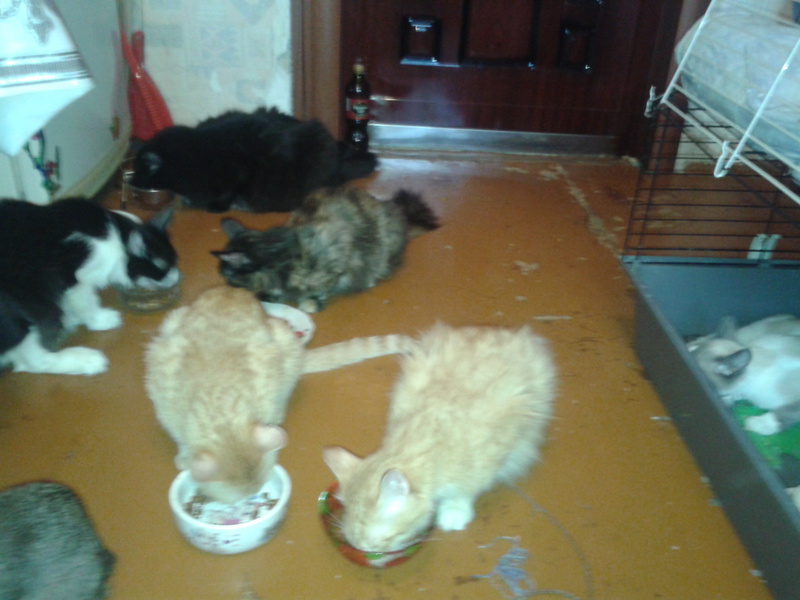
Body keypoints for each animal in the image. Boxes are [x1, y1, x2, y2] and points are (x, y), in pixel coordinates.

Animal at [0, 198, 178, 376]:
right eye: (162, 268)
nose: (177, 277)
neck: (118, 235)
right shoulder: (72, 279)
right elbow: (87, 302)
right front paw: (100, 319)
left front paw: (73, 317)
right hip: (16, 315)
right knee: (31, 362)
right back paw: (88, 360)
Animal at [130, 107, 378, 213]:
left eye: (140, 171)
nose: (132, 183)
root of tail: (336, 167)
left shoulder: (236, 173)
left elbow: (225, 194)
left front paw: (217, 206)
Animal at [323, 323, 557, 552]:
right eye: (353, 541)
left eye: (382, 541)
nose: (367, 550)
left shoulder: (487, 457)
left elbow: (466, 489)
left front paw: (455, 511)